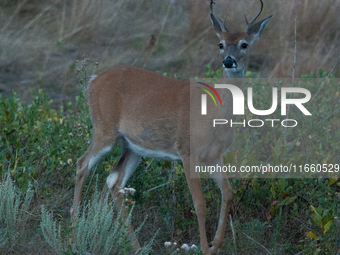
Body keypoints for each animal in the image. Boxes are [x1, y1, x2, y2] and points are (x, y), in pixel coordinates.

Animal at [70, 0, 272, 254]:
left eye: (244, 44)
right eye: (221, 44)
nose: (228, 60)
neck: (215, 114)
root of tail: (93, 80)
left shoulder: (214, 155)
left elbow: (228, 192)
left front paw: (216, 244)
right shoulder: (187, 151)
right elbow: (200, 203)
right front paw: (205, 248)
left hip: (133, 146)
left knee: (114, 181)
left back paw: (136, 245)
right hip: (104, 129)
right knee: (82, 164)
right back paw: (74, 234)